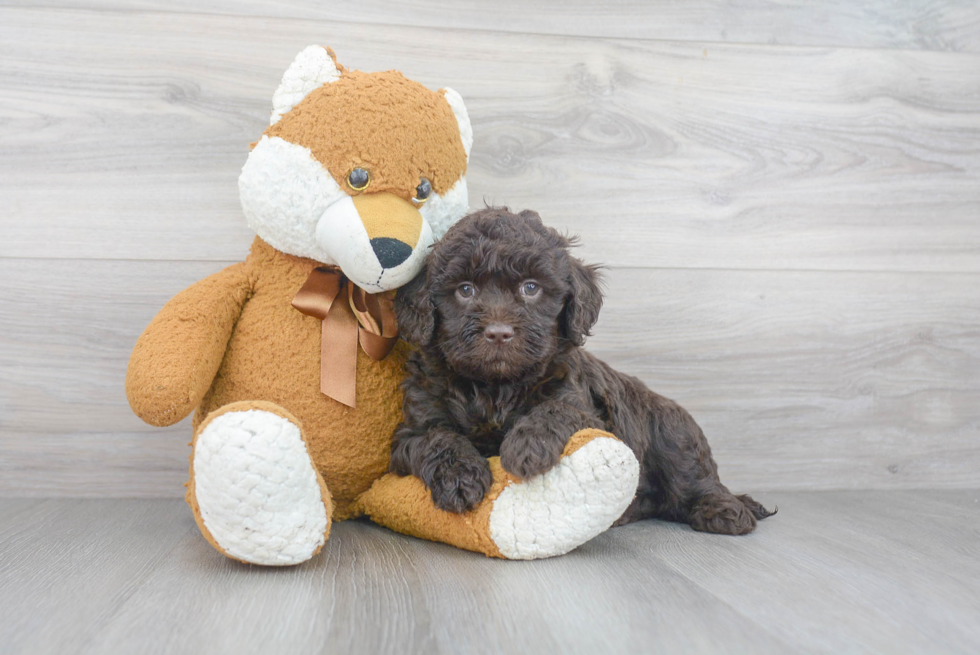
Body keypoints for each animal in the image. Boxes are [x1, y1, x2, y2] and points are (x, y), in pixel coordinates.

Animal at [390, 208, 772, 536]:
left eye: (531, 288)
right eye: (465, 290)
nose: (498, 333)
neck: (496, 386)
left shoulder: (587, 410)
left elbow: (556, 410)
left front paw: (526, 447)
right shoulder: (411, 431)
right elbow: (438, 440)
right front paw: (460, 479)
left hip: (674, 433)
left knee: (696, 478)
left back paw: (725, 511)